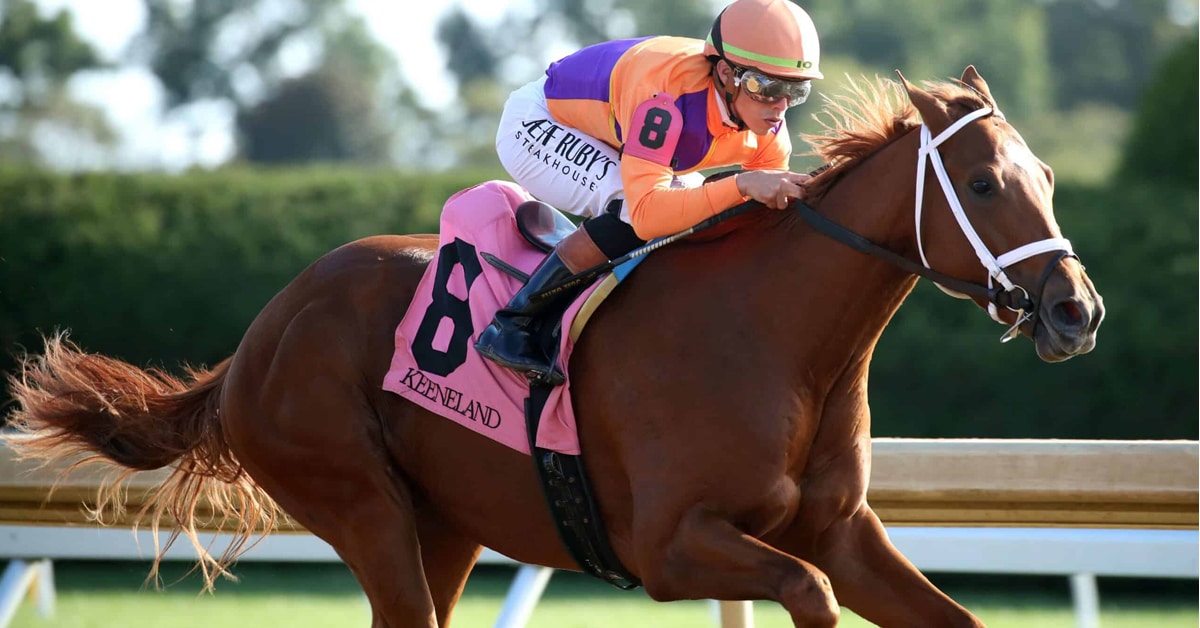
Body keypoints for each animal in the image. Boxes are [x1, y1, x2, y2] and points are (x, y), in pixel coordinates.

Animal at [5, 67, 1103, 627]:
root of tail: (259, 337)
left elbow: (941, 615)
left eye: (1049, 173)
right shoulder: (672, 546)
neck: (781, 346)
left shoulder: (839, 531)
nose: (1076, 311)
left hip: (442, 525)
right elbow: (810, 595)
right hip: (357, 500)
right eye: (987, 183)